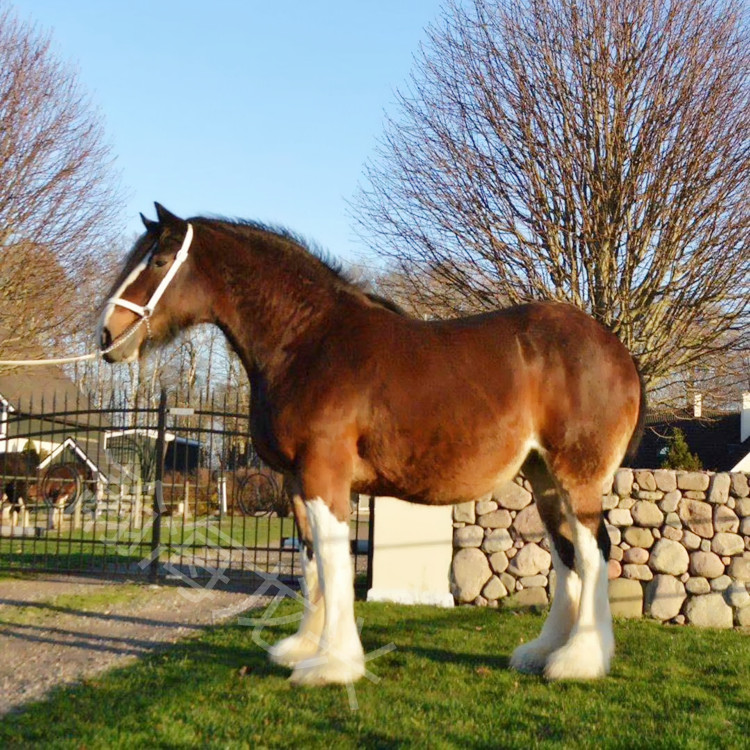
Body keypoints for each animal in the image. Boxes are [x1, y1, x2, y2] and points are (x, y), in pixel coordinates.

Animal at [97, 206, 644, 688]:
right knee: (566, 555)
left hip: (576, 475)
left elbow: (335, 561)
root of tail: (614, 349)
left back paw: (580, 661)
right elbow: (311, 562)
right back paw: (545, 652)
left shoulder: (325, 474)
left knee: (593, 552)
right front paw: (303, 648)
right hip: (543, 476)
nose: (106, 335)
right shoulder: (296, 481)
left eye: (159, 260)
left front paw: (333, 666)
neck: (308, 340)